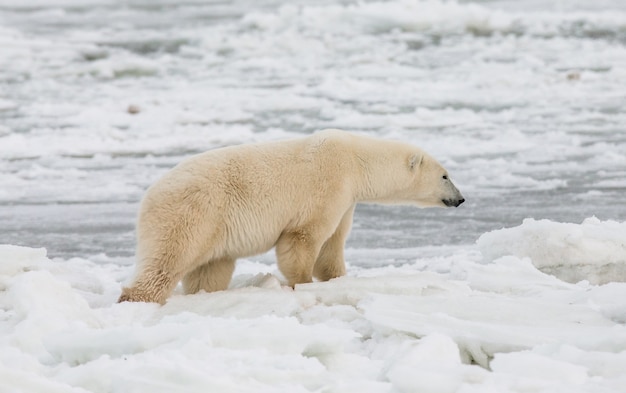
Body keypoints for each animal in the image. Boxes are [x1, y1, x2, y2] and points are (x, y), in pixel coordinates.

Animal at [119, 129, 464, 304]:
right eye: (445, 175)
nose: (460, 199)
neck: (357, 160)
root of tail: (148, 197)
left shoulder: (346, 200)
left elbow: (332, 244)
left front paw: (337, 278)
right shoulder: (329, 183)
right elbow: (303, 238)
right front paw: (303, 282)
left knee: (211, 268)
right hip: (193, 213)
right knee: (167, 260)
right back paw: (137, 298)